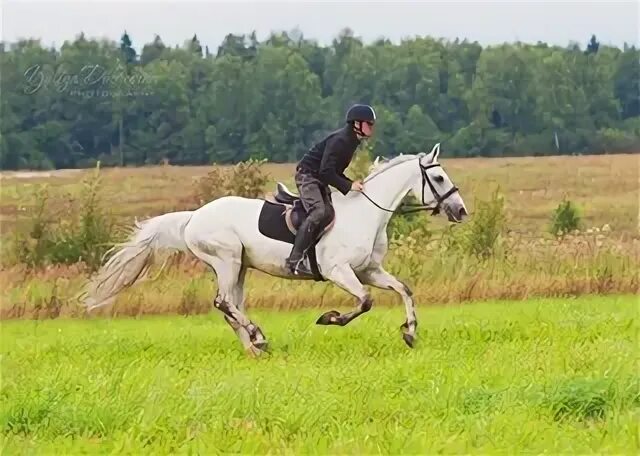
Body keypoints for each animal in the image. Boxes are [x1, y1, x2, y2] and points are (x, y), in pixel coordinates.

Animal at [82, 142, 468, 356]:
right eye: (438, 178)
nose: (461, 211)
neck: (366, 213)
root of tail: (193, 217)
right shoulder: (340, 272)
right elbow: (365, 302)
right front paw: (329, 318)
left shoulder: (369, 271)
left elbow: (404, 290)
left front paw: (410, 333)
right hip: (225, 259)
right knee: (223, 303)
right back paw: (256, 337)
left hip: (239, 266)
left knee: (231, 306)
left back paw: (255, 346)